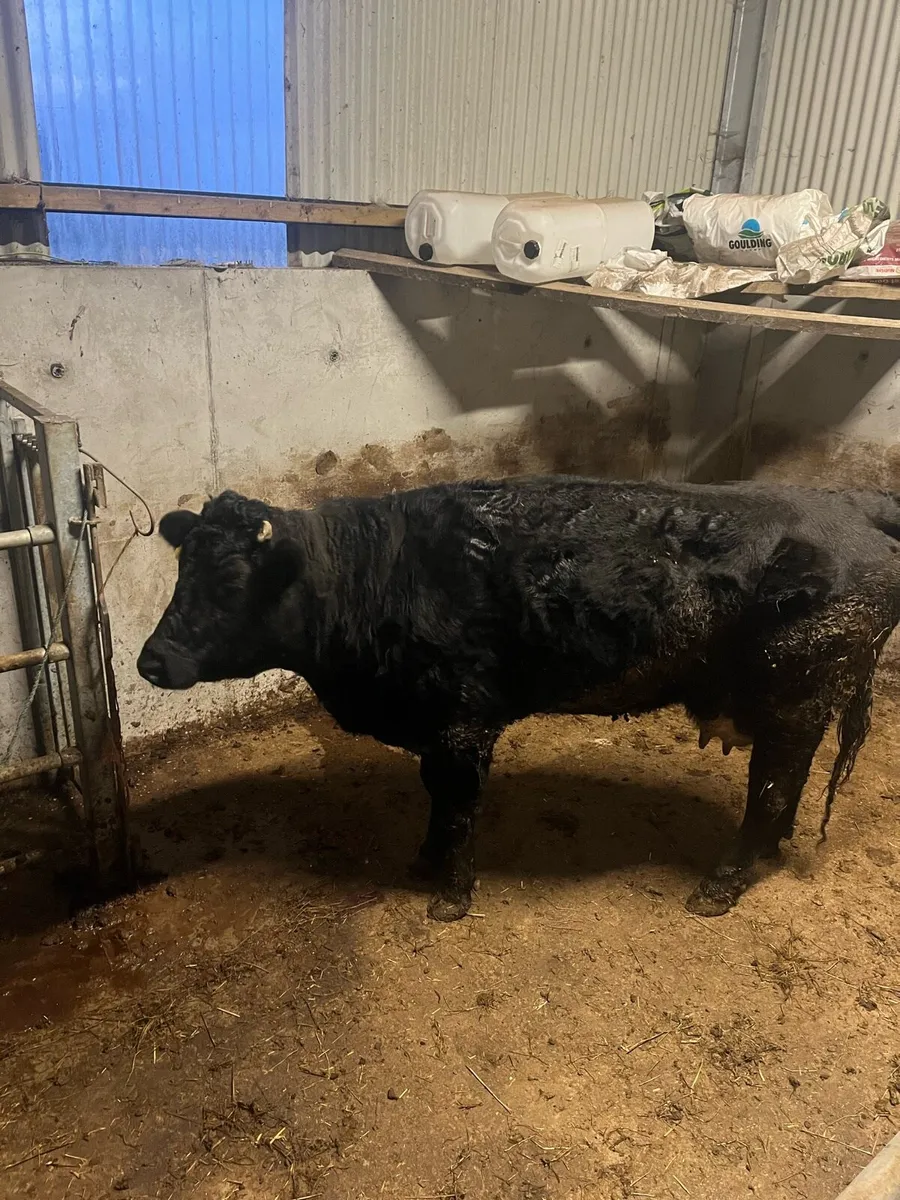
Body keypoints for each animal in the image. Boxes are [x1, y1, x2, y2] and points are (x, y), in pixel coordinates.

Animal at [137, 477, 900, 922]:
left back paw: (723, 883)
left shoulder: (462, 726)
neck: (380, 575)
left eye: (231, 582)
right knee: (785, 788)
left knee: (771, 790)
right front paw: (423, 864)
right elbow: (436, 804)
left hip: (795, 700)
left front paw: (450, 895)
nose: (150, 659)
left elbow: (456, 808)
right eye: (181, 569)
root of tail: (851, 503)